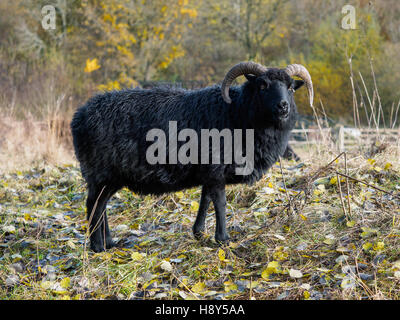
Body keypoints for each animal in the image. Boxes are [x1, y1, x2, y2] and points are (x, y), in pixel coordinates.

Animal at [72, 61, 316, 251]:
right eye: (263, 85)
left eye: (291, 88)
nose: (283, 106)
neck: (236, 113)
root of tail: (79, 116)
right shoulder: (216, 169)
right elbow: (220, 203)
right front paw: (223, 239)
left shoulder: (209, 172)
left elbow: (205, 199)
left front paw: (199, 232)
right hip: (103, 171)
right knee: (94, 205)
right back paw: (98, 246)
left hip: (108, 177)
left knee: (101, 205)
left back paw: (109, 242)